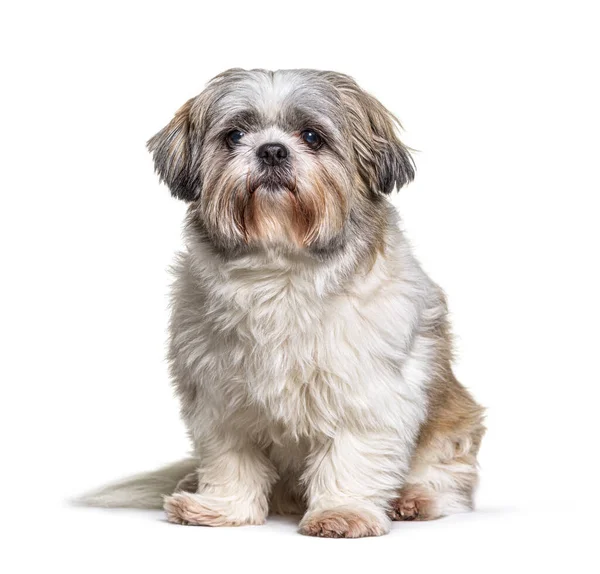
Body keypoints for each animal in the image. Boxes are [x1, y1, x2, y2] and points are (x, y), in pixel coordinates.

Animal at [78, 68, 482, 540]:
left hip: (454, 426)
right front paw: (223, 508)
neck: (280, 270)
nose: (271, 149)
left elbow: (352, 454)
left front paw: (342, 511)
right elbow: (230, 459)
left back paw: (412, 499)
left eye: (312, 136)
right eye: (234, 136)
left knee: (445, 478)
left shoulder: (365, 392)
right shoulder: (220, 398)